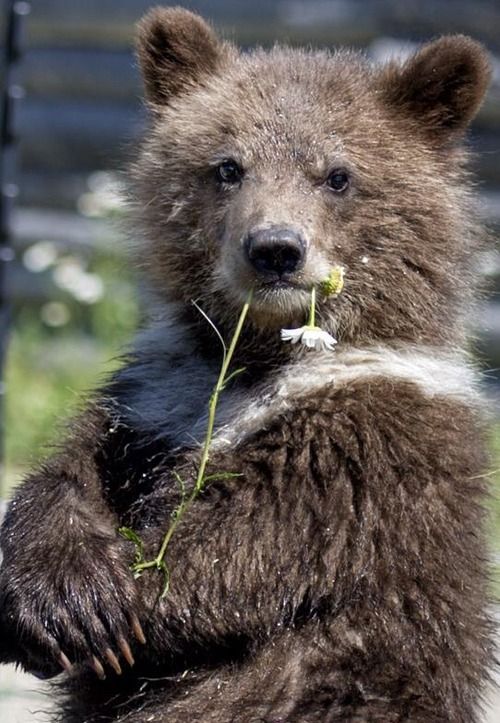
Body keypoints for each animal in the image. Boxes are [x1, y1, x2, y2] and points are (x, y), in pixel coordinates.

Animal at [0, 6, 494, 722]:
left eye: (338, 174)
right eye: (228, 166)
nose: (275, 249)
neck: (257, 358)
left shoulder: (369, 450)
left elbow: (248, 542)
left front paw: (120, 606)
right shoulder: (156, 399)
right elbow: (69, 473)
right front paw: (68, 598)